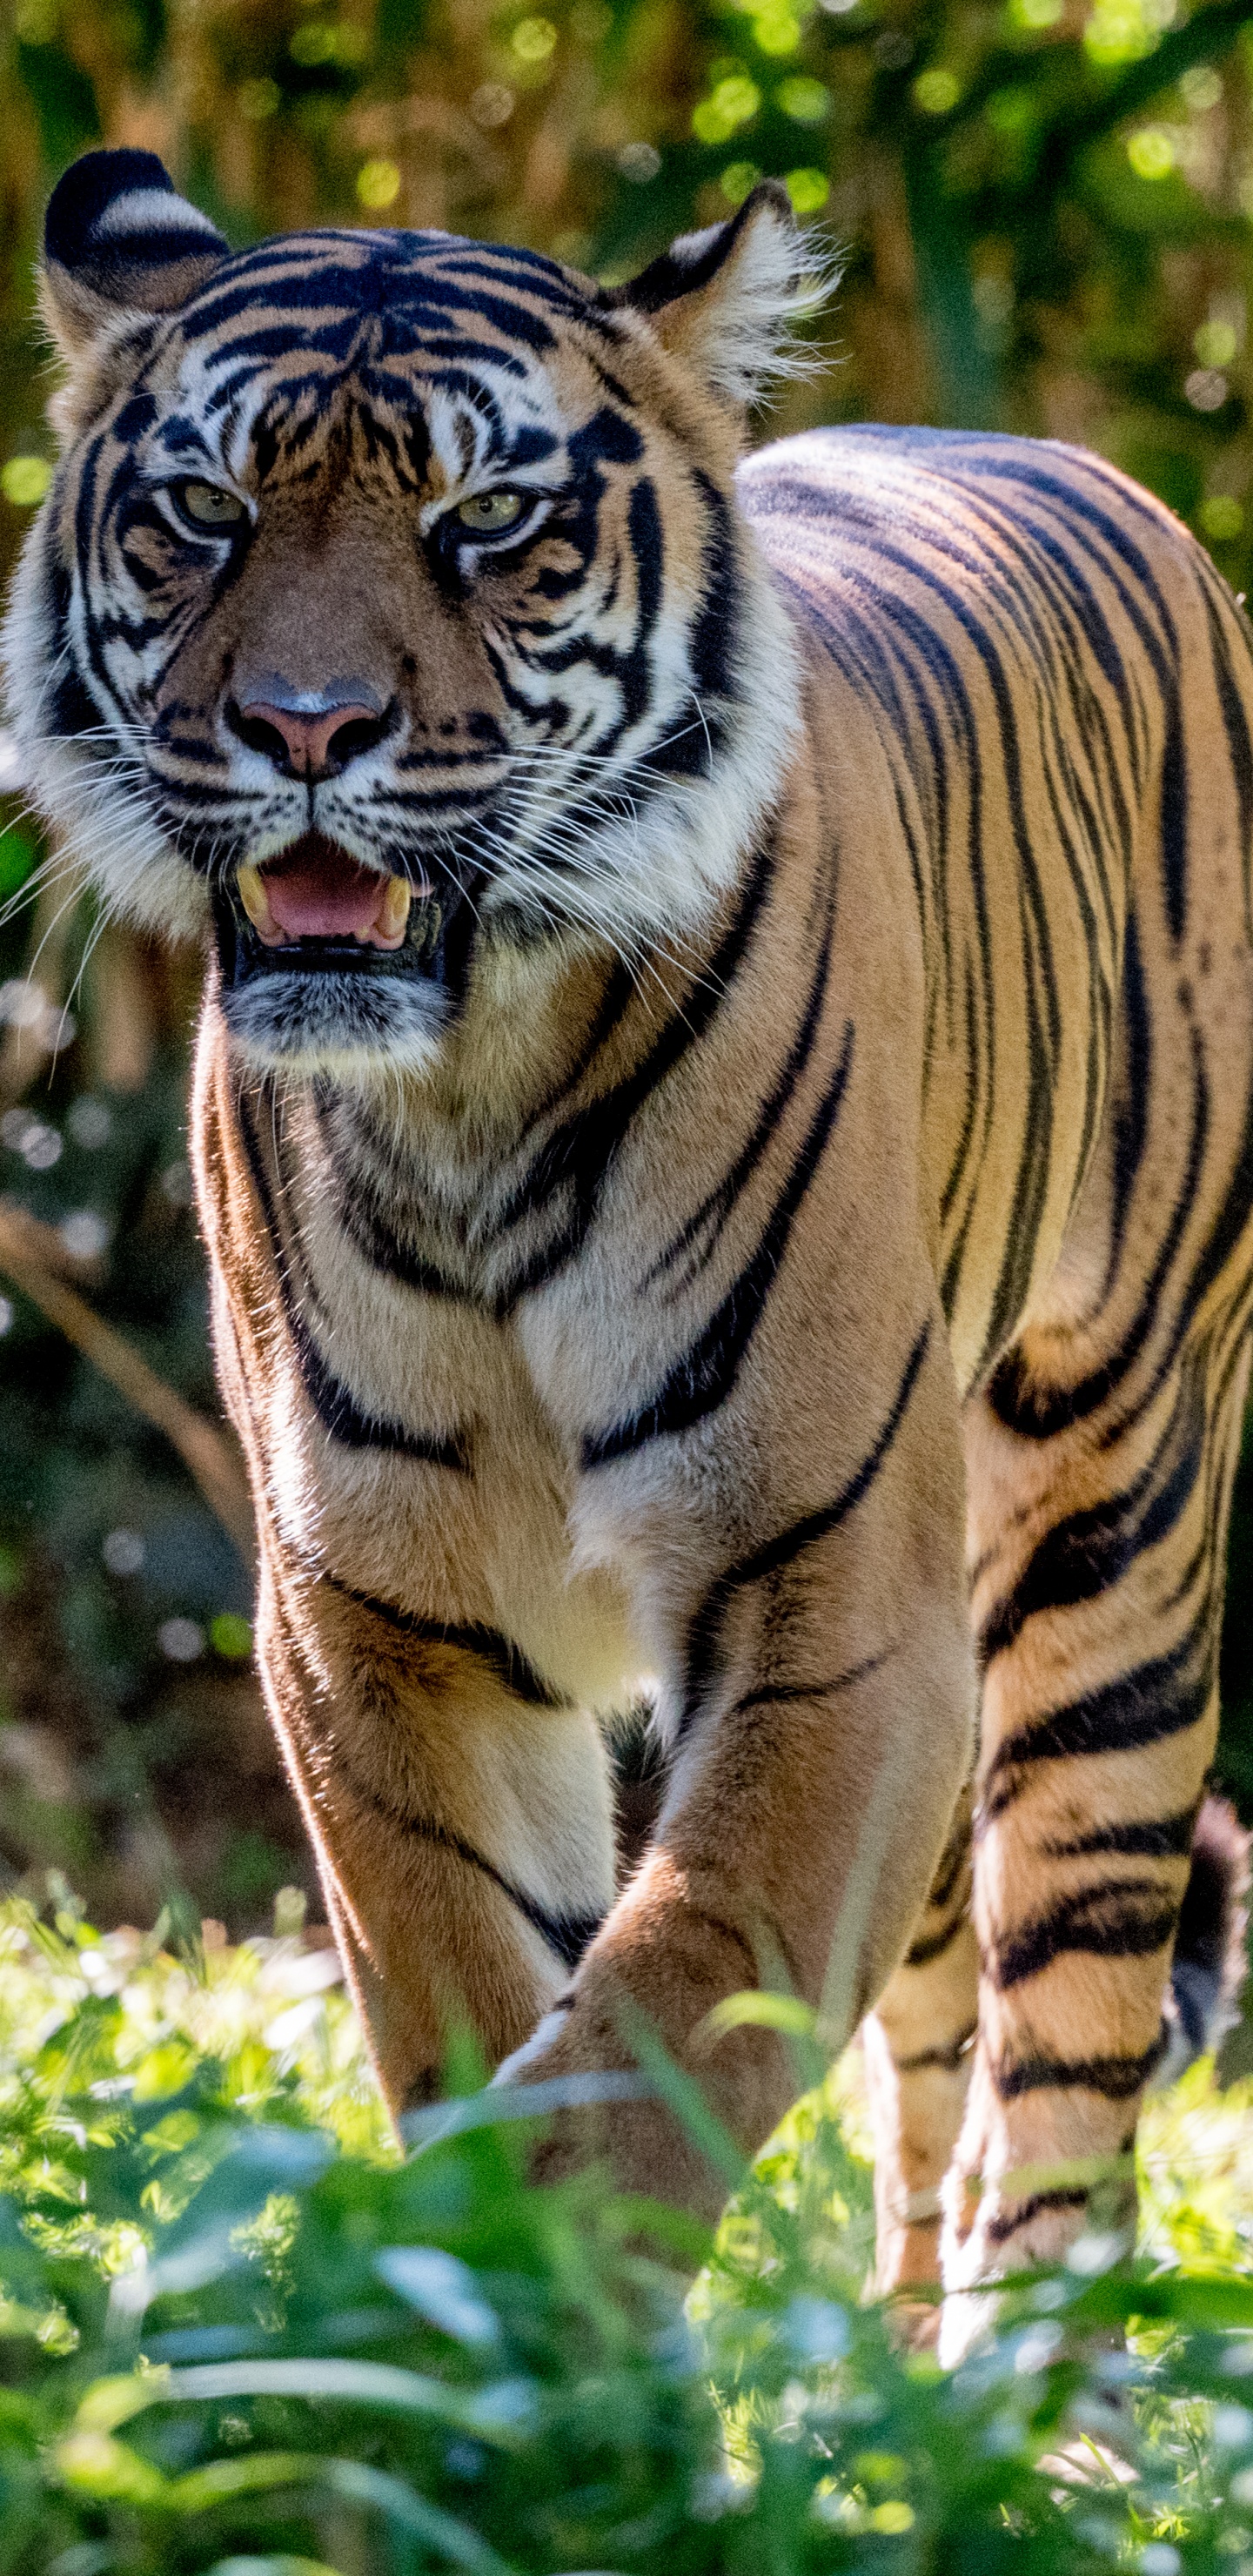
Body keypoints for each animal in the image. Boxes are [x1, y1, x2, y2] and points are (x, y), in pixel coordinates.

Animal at [6, 143, 1253, 2355]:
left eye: (485, 523)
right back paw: (882, 2374)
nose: (303, 727)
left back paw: (1031, 2401)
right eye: (204, 511)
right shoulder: (376, 1619)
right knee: (937, 2039)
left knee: (1072, 2054)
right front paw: (479, 2327)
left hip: (1110, 1521)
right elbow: (479, 1998)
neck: (469, 1096)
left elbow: (671, 2002)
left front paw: (556, 2337)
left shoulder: (836, 1604)